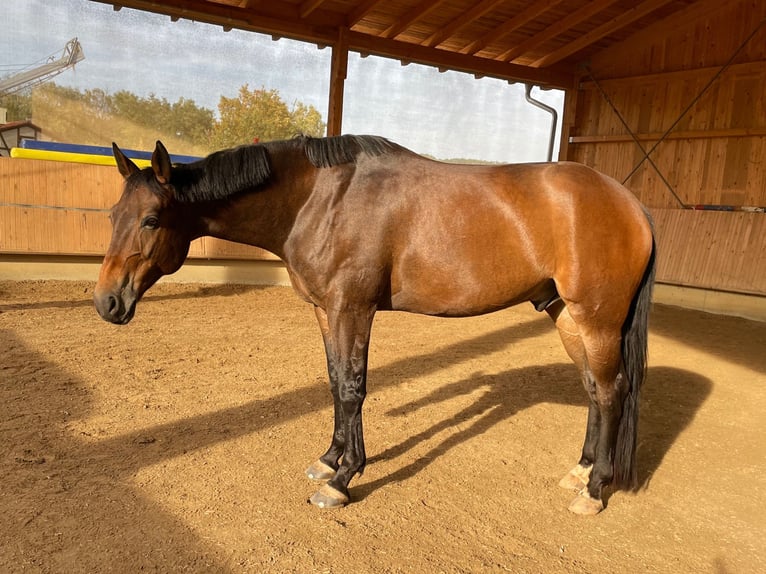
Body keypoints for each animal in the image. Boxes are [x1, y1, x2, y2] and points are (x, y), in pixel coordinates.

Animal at [93, 136, 656, 516]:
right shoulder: (326, 311)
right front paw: (329, 459)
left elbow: (352, 387)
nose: (107, 302)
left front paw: (342, 479)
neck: (320, 199)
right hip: (567, 316)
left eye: (151, 220)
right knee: (593, 390)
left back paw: (596, 489)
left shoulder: (353, 308)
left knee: (612, 392)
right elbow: (334, 383)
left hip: (597, 320)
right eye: (113, 214)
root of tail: (630, 203)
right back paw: (581, 472)